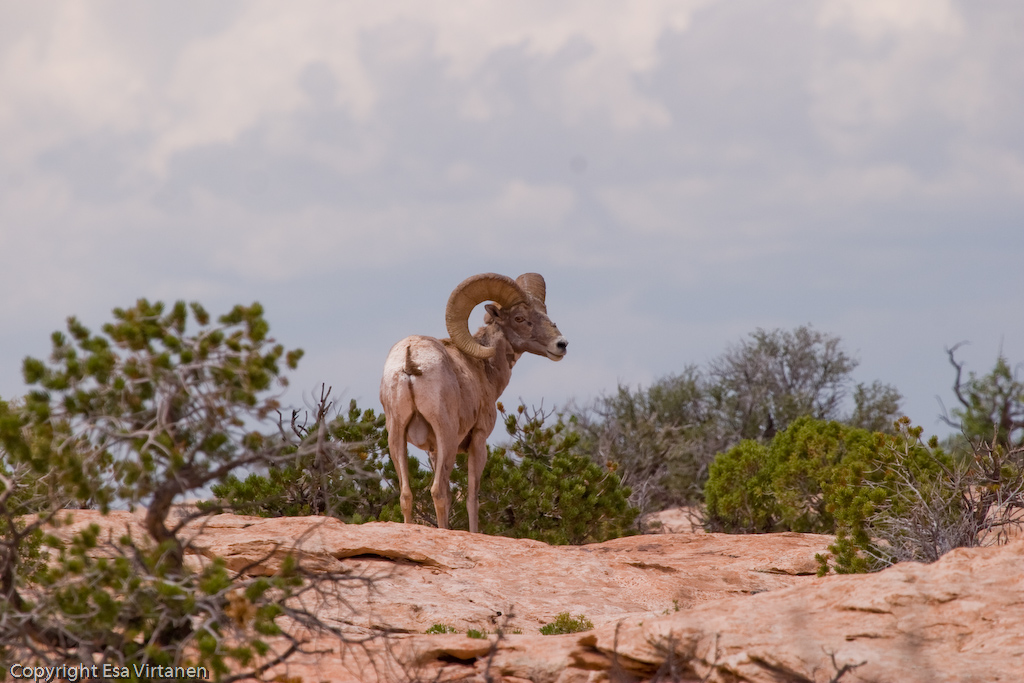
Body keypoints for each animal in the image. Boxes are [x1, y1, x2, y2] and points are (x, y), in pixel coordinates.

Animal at [379, 272, 568, 533]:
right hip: (446, 436)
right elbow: (471, 498)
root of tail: (411, 360)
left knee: (407, 494)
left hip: (396, 435)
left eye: (544, 312)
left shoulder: (432, 450)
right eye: (519, 318)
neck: (483, 370)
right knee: (438, 492)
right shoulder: (478, 440)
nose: (561, 345)